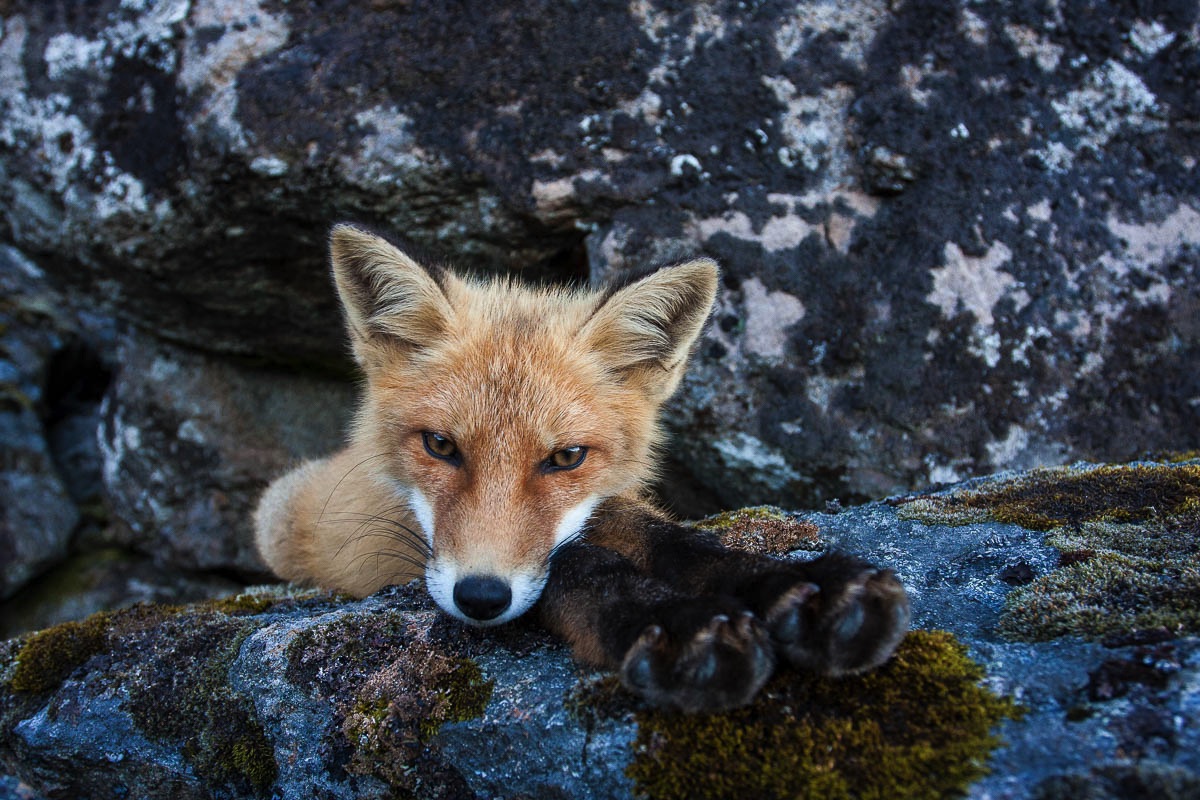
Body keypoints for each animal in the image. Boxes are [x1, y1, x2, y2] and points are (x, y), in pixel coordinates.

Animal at [255, 225, 907, 714]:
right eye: (440, 446)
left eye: (566, 458)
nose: (481, 598)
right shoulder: (389, 544)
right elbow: (576, 564)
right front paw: (673, 622)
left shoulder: (610, 503)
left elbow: (676, 541)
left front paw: (799, 584)